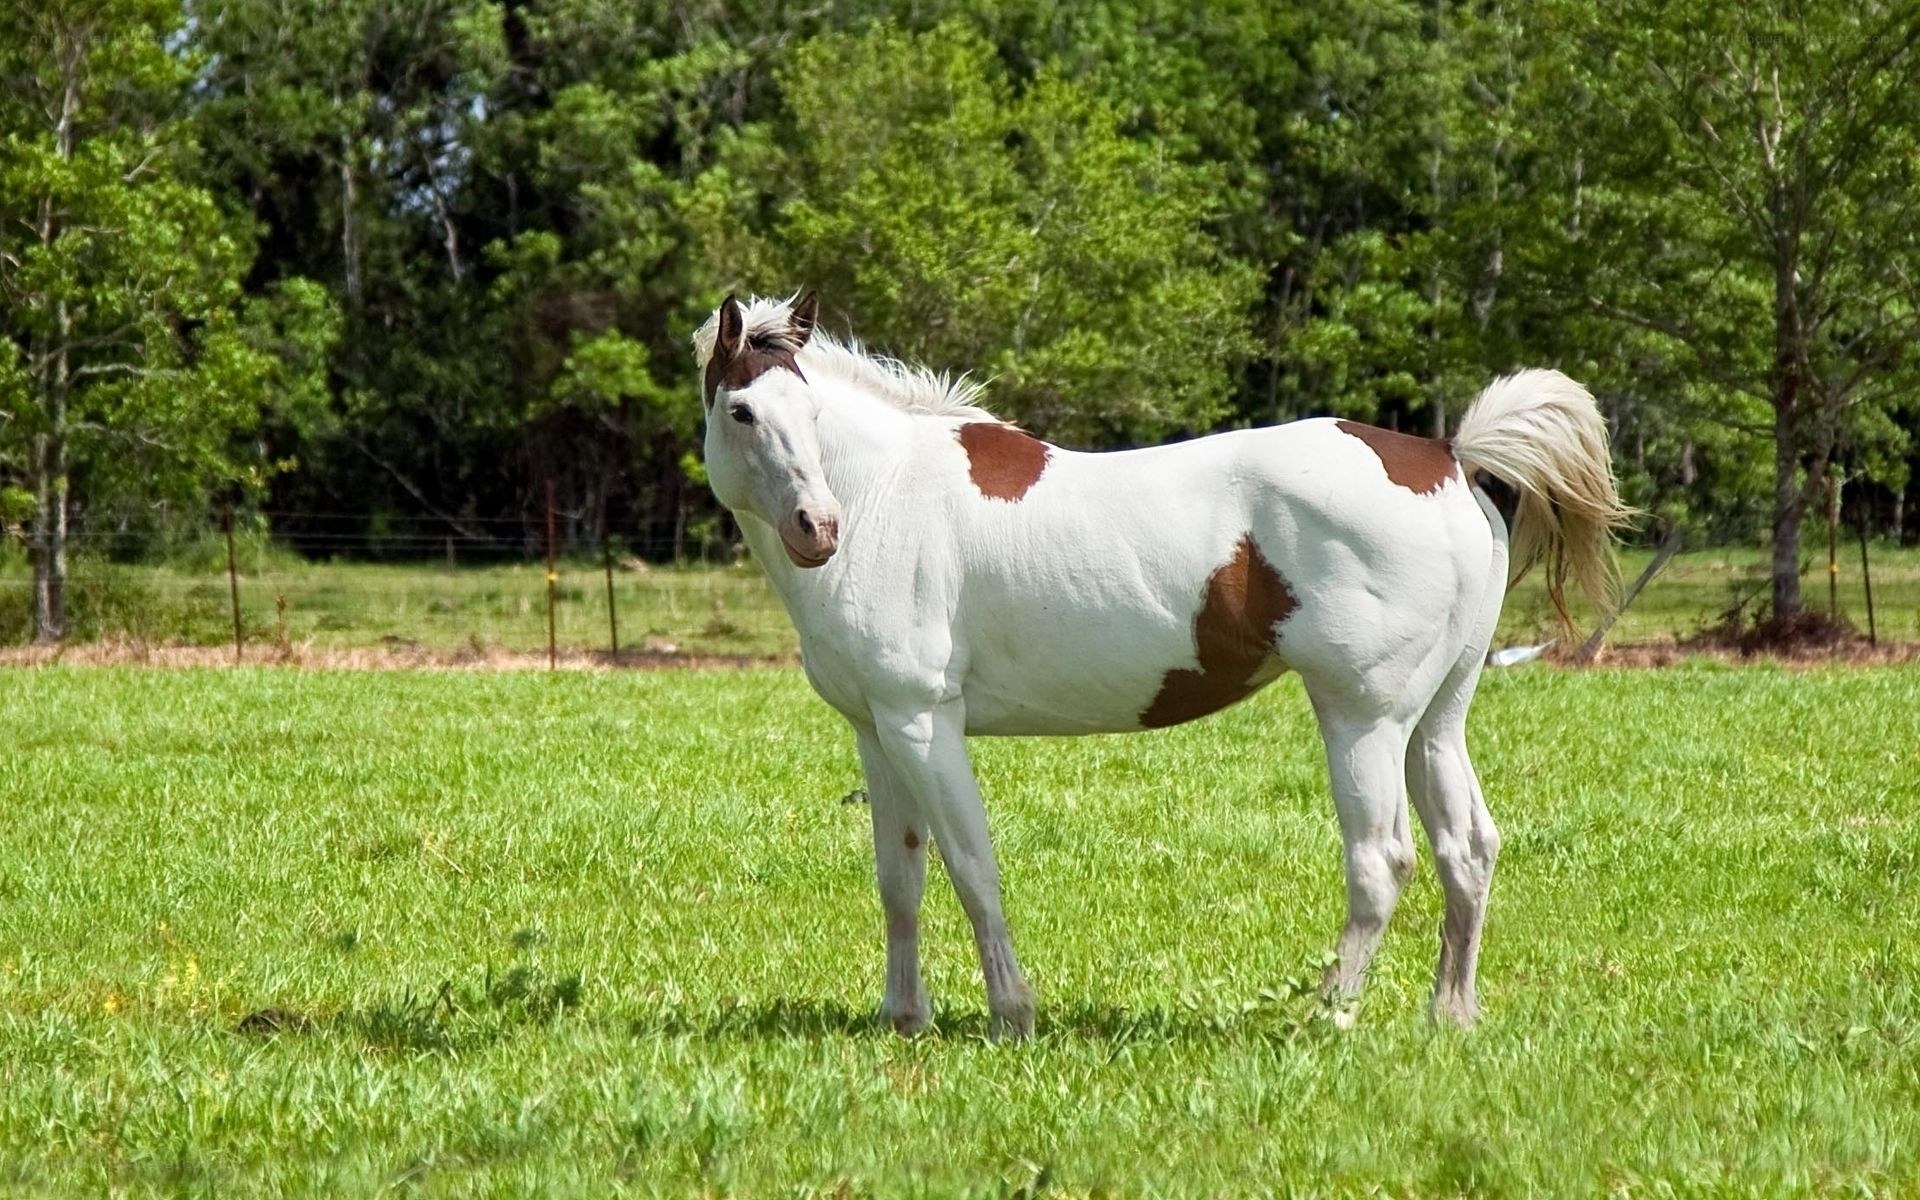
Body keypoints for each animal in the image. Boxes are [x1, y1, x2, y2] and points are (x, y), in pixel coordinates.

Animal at [694, 291, 1629, 1039]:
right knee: (1466, 850)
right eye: (743, 411)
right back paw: (1450, 1015)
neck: (888, 493)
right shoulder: (877, 730)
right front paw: (903, 1018)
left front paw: (1011, 1016)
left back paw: (1323, 1014)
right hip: (1435, 720)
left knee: (1382, 861)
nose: (818, 528)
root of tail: (1446, 457)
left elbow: (971, 868)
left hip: (1363, 718)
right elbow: (901, 879)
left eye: (810, 415)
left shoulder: (925, 724)